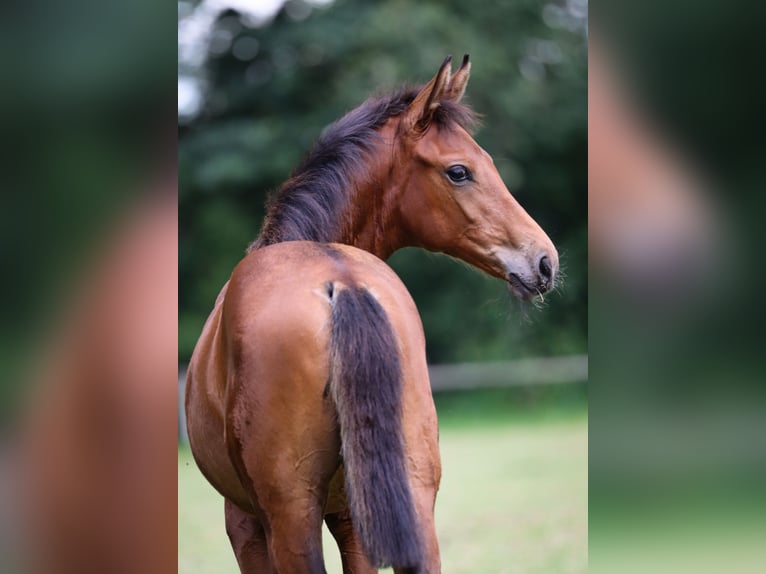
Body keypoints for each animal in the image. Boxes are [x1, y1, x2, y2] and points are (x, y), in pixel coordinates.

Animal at [186, 55, 560, 574]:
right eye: (459, 171)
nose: (544, 261)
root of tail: (342, 282)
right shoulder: (350, 517)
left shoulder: (244, 523)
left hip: (291, 513)